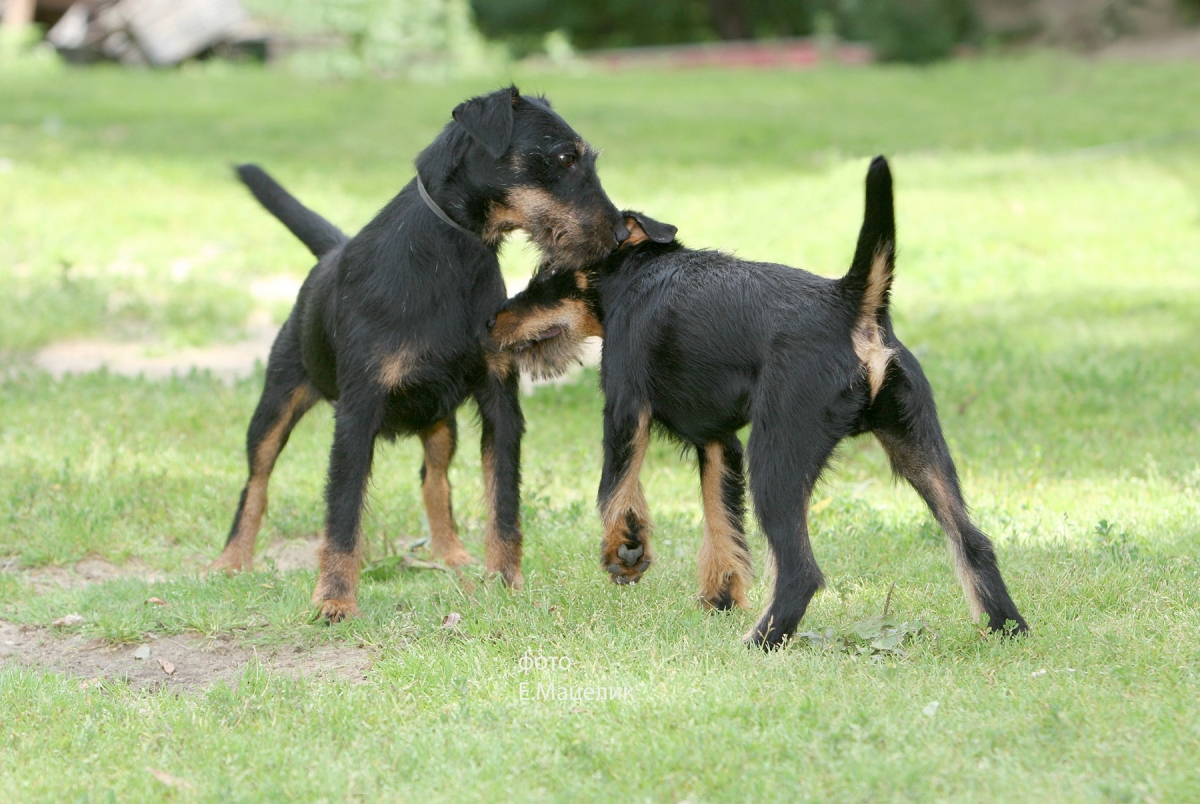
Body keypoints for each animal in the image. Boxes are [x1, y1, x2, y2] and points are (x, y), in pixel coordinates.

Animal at [212, 85, 628, 619]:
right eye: (563, 158)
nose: (621, 234)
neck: (452, 251)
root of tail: (331, 253)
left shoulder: (500, 408)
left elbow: (503, 505)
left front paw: (506, 583)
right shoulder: (357, 414)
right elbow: (342, 515)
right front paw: (334, 600)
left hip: (441, 422)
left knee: (435, 480)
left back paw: (451, 554)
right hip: (275, 407)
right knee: (256, 483)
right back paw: (232, 560)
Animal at [492, 156, 1027, 648]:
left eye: (548, 273)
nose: (491, 321)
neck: (639, 274)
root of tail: (853, 302)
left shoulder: (625, 409)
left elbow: (613, 489)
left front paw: (624, 549)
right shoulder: (717, 443)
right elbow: (722, 524)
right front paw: (720, 596)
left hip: (776, 461)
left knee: (801, 571)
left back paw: (761, 641)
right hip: (918, 448)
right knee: (973, 541)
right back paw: (1008, 629)